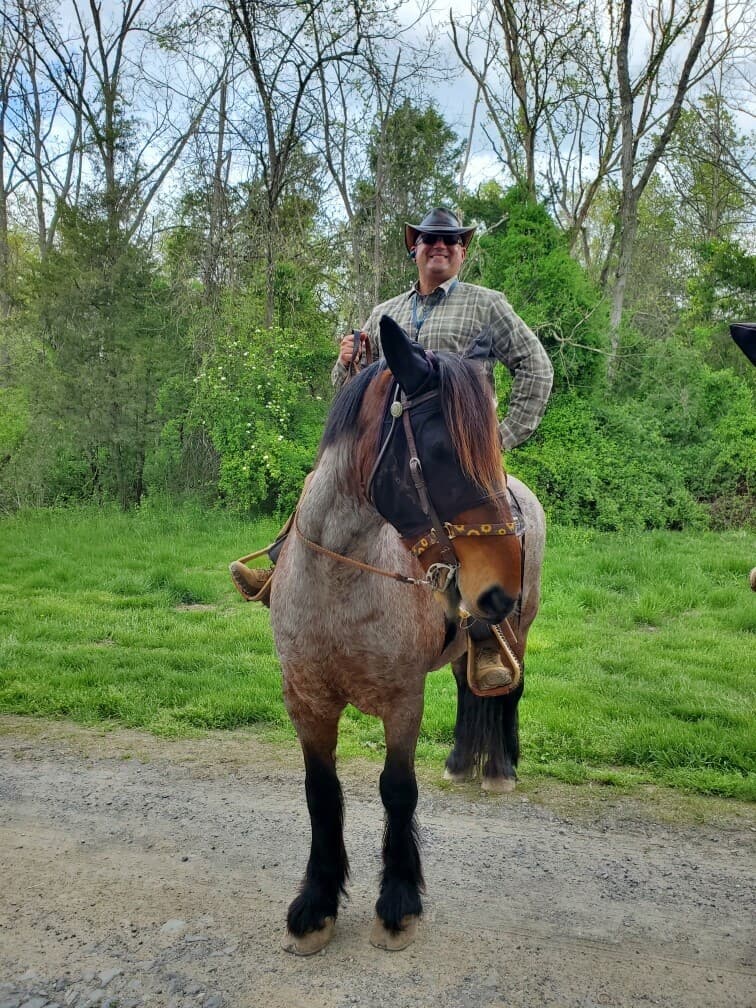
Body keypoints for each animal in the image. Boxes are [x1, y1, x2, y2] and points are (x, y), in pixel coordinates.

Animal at [269, 314, 545, 955]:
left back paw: (500, 768)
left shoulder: (402, 701)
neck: (340, 582)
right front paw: (315, 906)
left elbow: (397, 790)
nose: (500, 589)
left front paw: (397, 904)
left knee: (509, 690)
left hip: (520, 629)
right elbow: (321, 793)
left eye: (492, 446)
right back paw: (463, 759)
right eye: (442, 450)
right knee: (472, 688)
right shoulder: (307, 702)